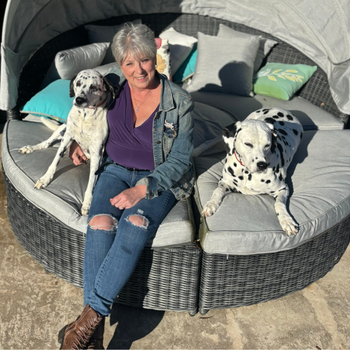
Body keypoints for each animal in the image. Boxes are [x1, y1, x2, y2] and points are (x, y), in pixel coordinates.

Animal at [19, 68, 114, 215]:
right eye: (78, 83)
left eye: (94, 87)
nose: (79, 100)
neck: (85, 116)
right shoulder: (67, 138)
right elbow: (54, 162)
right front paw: (45, 179)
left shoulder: (97, 153)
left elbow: (91, 181)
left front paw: (87, 203)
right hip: (62, 129)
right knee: (46, 143)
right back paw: (30, 148)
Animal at [202, 106, 304, 235]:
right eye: (248, 144)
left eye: (267, 145)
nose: (262, 165)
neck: (246, 173)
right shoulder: (225, 182)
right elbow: (217, 190)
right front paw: (211, 204)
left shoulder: (283, 189)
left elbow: (279, 203)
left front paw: (287, 220)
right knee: (209, 143)